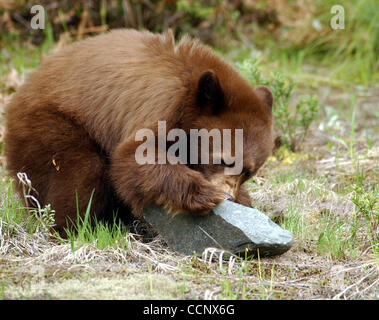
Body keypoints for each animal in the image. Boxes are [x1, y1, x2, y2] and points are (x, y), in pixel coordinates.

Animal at [4, 29, 274, 235]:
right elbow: (134, 154)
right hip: (48, 124)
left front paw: (244, 200)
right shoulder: (163, 101)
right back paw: (77, 227)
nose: (228, 197)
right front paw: (204, 194)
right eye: (223, 159)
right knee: (79, 172)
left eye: (249, 172)